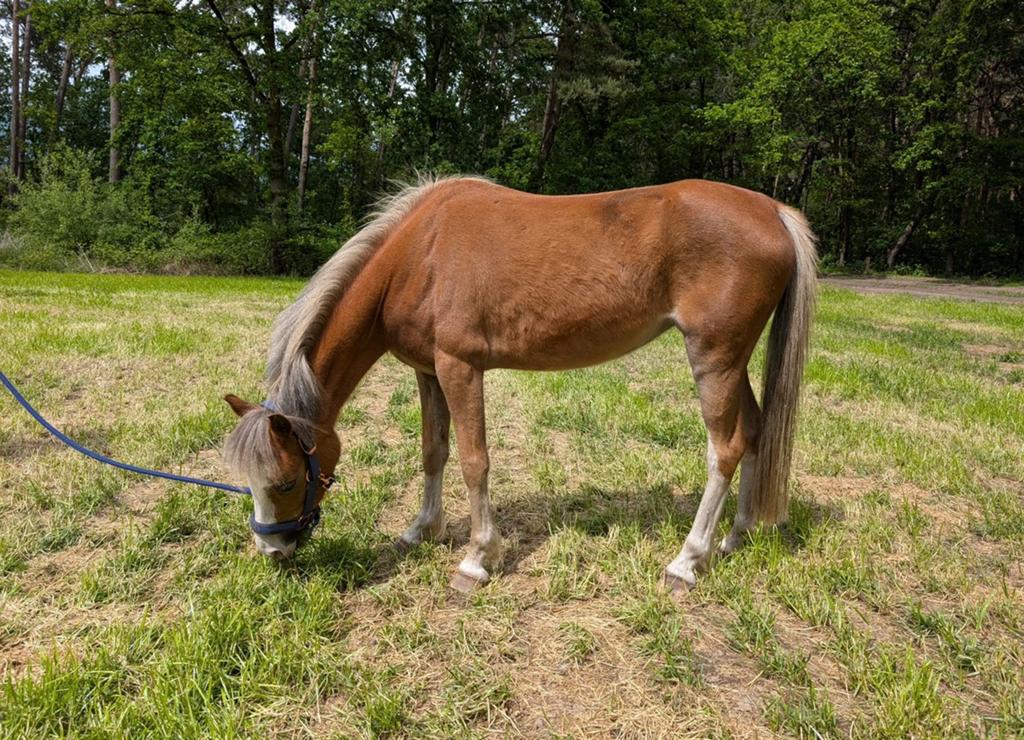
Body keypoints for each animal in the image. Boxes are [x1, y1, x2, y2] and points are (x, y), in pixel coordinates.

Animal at [223, 175, 817, 593]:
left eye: (284, 482)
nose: (272, 553)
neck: (419, 254)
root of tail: (772, 210)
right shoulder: (427, 370)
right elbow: (434, 451)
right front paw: (422, 530)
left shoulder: (460, 367)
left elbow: (473, 460)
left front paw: (476, 559)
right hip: (733, 362)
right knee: (755, 432)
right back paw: (735, 537)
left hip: (713, 358)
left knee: (725, 448)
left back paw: (687, 562)